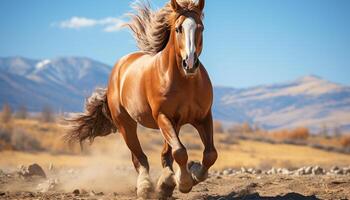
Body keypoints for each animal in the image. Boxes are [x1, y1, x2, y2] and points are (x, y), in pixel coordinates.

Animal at [66, 0, 216, 198]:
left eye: (201, 27)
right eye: (178, 29)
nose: (190, 64)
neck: (186, 82)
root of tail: (119, 67)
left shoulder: (203, 117)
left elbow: (210, 154)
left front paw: (195, 174)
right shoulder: (163, 116)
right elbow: (180, 151)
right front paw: (184, 183)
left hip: (172, 125)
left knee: (163, 154)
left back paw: (166, 184)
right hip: (126, 124)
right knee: (139, 157)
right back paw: (146, 186)